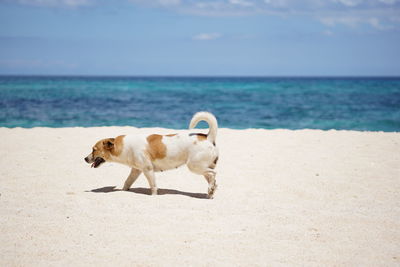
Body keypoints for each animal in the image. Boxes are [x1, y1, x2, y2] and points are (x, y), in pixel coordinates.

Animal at [84, 111, 219, 199]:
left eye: (94, 149)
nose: (85, 159)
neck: (123, 146)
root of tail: (208, 137)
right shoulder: (136, 171)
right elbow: (127, 182)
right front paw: (123, 191)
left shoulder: (147, 170)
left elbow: (153, 186)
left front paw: (154, 196)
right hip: (201, 168)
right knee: (212, 179)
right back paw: (210, 193)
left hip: (194, 166)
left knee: (213, 174)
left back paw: (211, 190)